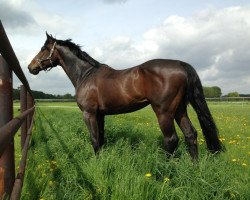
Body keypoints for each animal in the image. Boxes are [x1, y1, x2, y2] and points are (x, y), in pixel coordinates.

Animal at [28, 33, 222, 161]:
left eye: (44, 49)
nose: (31, 67)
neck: (86, 74)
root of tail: (181, 64)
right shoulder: (100, 115)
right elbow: (101, 138)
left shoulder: (89, 114)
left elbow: (94, 139)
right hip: (179, 109)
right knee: (190, 134)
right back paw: (194, 166)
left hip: (164, 112)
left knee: (171, 139)